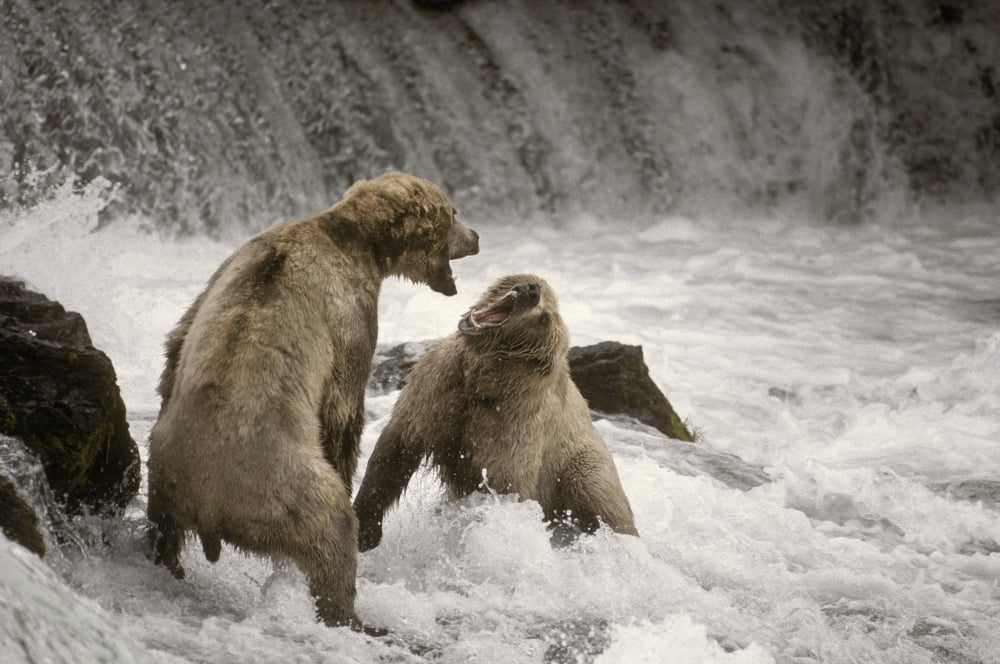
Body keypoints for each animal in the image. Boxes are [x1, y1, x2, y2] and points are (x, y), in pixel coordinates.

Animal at [146, 172, 479, 630]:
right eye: (453, 213)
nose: (476, 236)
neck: (363, 245)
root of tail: (210, 504)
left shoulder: (229, 268)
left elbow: (177, 342)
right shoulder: (348, 314)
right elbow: (343, 407)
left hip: (165, 474)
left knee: (163, 527)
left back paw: (167, 564)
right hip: (285, 486)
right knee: (329, 536)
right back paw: (355, 614)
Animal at [353, 274, 638, 552]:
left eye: (544, 318)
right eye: (541, 292)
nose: (532, 291)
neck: (482, 377)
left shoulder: (511, 420)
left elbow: (502, 484)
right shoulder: (437, 387)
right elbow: (394, 451)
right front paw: (365, 528)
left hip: (580, 466)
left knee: (599, 499)